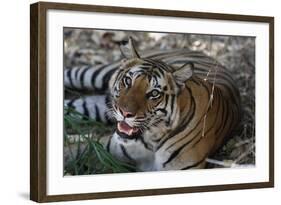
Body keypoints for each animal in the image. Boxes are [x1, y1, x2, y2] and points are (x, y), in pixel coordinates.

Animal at [64, 37, 241, 171]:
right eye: (128, 81)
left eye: (154, 93)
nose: (124, 112)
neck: (151, 140)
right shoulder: (103, 147)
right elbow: (71, 152)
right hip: (99, 74)